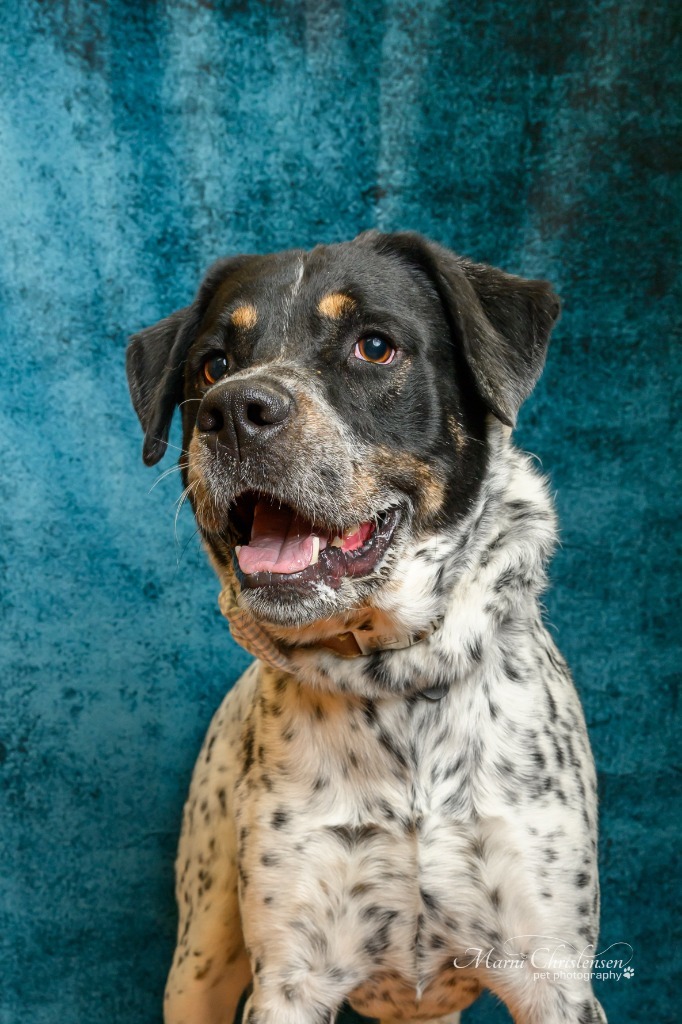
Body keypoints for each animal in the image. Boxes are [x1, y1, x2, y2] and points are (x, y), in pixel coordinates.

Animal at [124, 232, 602, 1024]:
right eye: (213, 364)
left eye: (374, 347)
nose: (234, 409)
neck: (395, 684)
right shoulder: (288, 980)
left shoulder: (553, 975)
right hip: (199, 957)